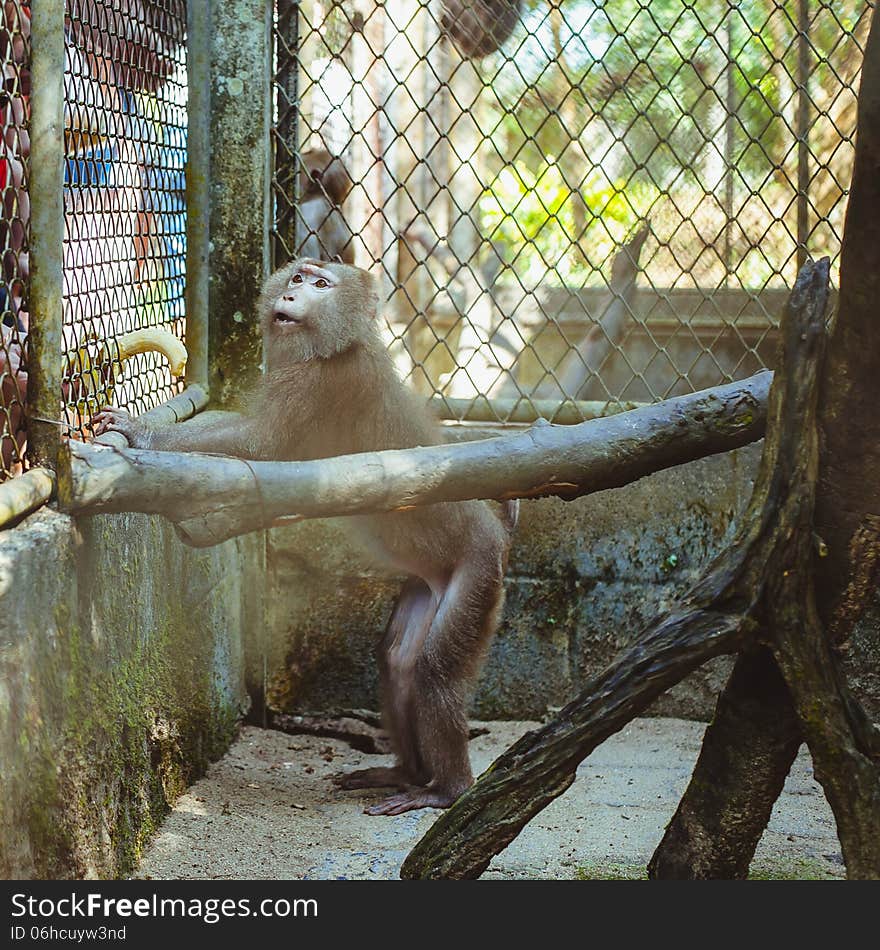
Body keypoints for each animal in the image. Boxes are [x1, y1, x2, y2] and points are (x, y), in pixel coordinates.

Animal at [94, 260, 524, 820]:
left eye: (321, 285)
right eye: (299, 276)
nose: (294, 293)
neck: (338, 345)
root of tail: (496, 533)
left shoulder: (326, 380)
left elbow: (259, 442)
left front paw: (145, 433)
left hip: (477, 572)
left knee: (434, 673)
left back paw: (444, 789)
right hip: (427, 583)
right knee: (398, 661)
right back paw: (404, 772)